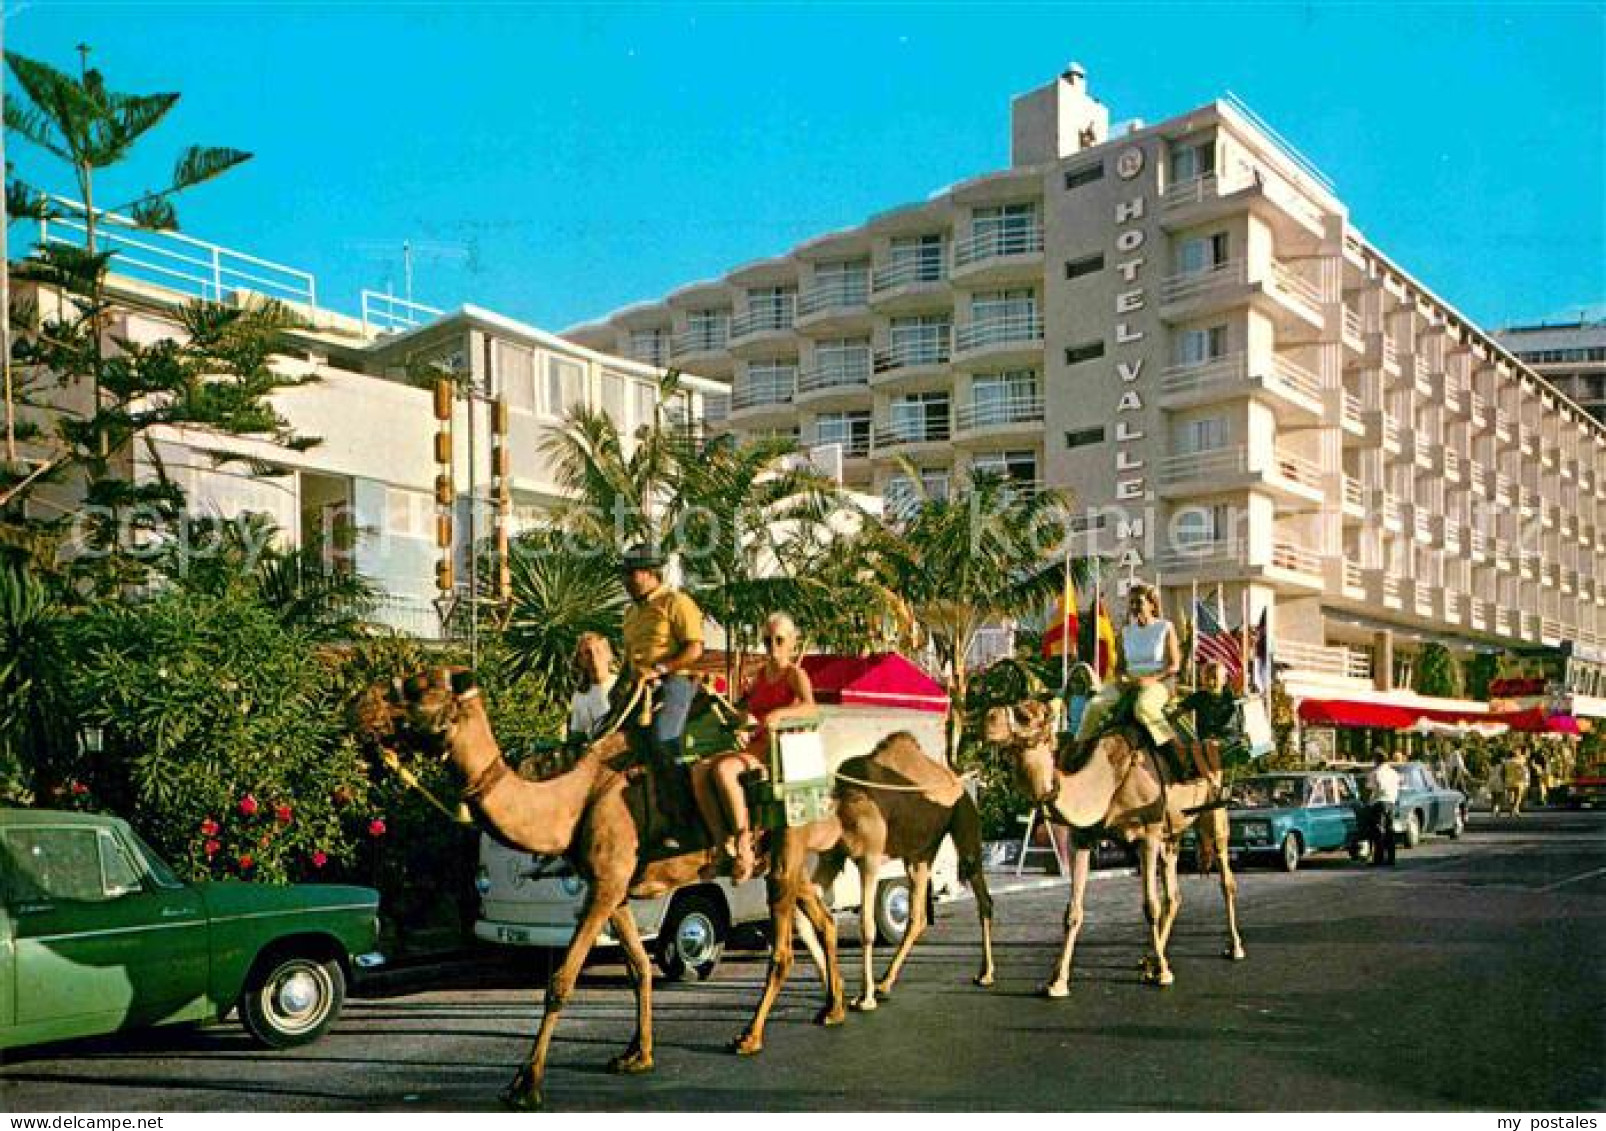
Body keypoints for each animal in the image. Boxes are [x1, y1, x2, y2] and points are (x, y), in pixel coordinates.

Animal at [358, 668, 847, 1111]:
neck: (573, 802)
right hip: (786, 862)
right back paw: (832, 1010)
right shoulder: (614, 888)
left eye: (420, 689)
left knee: (782, 951)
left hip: (787, 846)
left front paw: (525, 1084)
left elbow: (561, 979)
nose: (360, 705)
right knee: (822, 919)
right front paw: (637, 1055)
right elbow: (638, 968)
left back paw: (750, 1036)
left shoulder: (605, 885)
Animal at [815, 732, 989, 1008]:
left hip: (964, 820)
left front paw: (864, 998)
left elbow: (866, 926)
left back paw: (985, 975)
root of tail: (956, 779)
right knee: (917, 916)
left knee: (983, 898)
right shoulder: (830, 859)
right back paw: (885, 983)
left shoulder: (869, 858)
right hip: (920, 853)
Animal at [976, 697, 1239, 996]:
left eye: (1026, 715)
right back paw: (1148, 961)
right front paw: (1057, 982)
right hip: (1171, 834)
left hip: (1213, 809)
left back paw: (1232, 948)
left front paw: (1164, 973)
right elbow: (1073, 911)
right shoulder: (1083, 837)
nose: (988, 719)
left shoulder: (1148, 835)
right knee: (1174, 894)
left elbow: (1149, 906)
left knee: (1224, 875)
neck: (1108, 779)